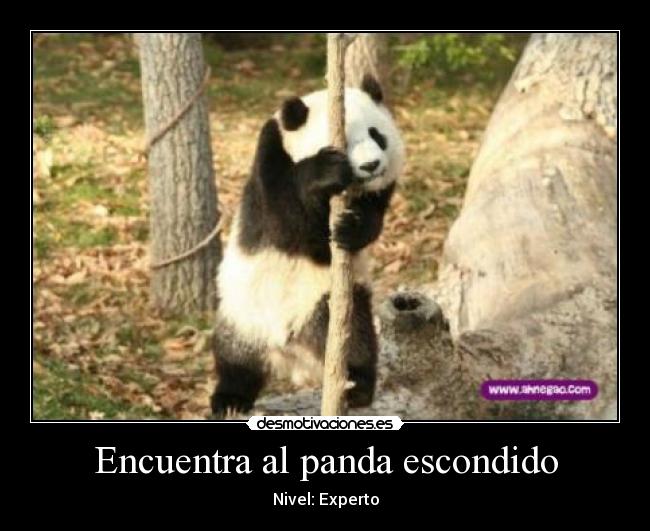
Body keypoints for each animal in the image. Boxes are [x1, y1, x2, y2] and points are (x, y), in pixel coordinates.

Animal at [211, 74, 404, 417]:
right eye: (346, 142)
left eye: (376, 134)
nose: (371, 165)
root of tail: (288, 351)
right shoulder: (270, 158)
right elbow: (286, 220)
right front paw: (325, 172)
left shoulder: (379, 190)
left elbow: (370, 219)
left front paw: (350, 228)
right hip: (242, 312)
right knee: (234, 359)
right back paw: (230, 399)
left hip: (329, 301)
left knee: (355, 337)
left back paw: (356, 386)